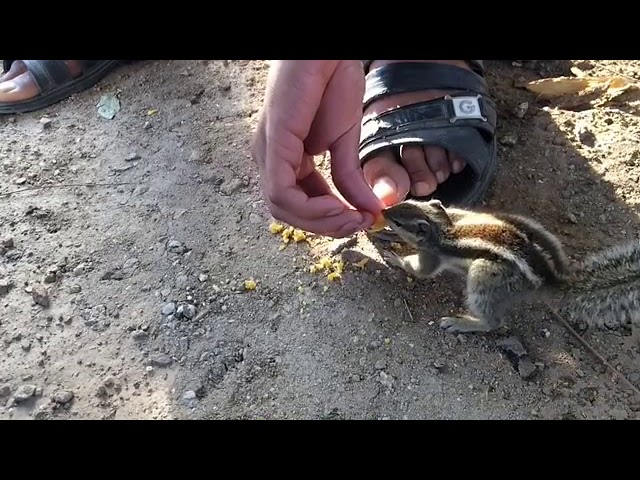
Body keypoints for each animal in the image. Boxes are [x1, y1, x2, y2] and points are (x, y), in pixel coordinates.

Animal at [375, 198, 640, 334]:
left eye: (398, 222)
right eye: (406, 199)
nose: (383, 210)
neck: (443, 228)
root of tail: (551, 278)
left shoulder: (432, 255)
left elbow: (421, 270)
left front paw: (394, 257)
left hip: (485, 277)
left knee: (493, 322)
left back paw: (463, 323)